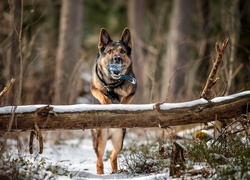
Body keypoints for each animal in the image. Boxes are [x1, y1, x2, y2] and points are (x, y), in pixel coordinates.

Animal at [90, 27, 137, 174]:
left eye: (122, 51)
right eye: (110, 51)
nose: (117, 58)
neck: (113, 83)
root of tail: (110, 133)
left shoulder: (132, 92)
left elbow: (125, 101)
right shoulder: (94, 88)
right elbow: (103, 96)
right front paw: (107, 105)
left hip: (119, 140)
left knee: (112, 156)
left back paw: (116, 172)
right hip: (100, 141)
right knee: (99, 161)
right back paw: (100, 174)